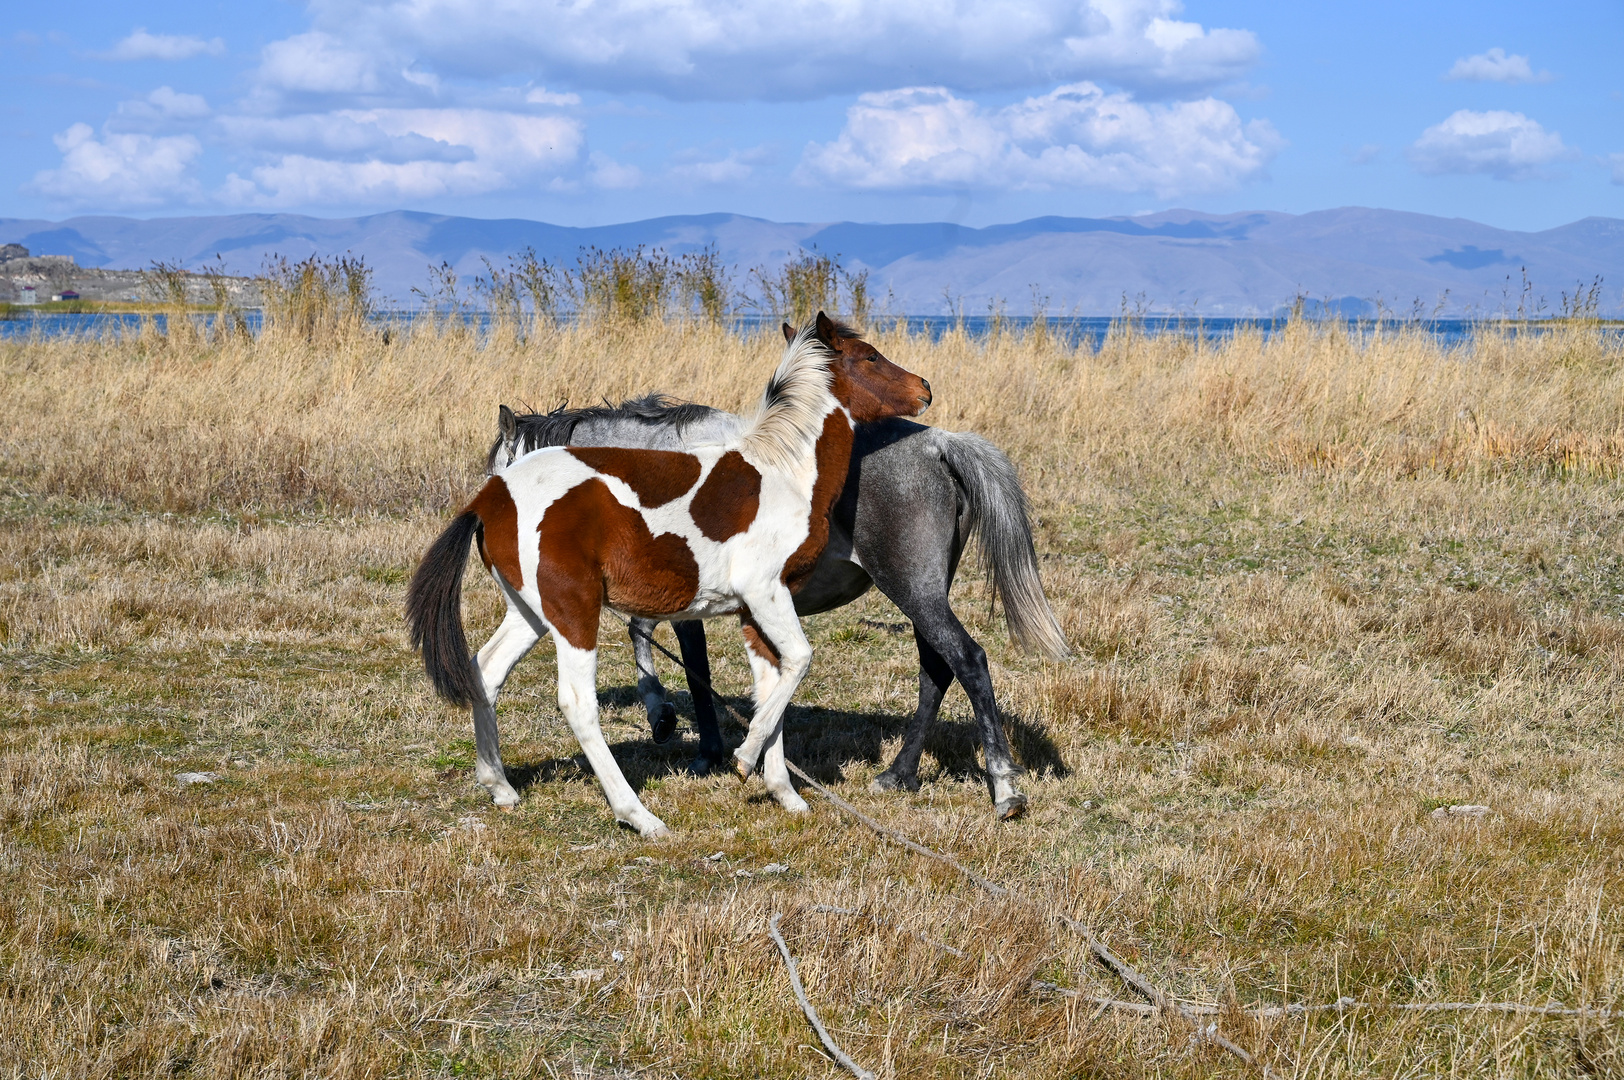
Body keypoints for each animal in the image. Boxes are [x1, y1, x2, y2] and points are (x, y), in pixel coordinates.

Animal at [406, 311, 935, 831]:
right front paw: (743, 758)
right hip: (574, 611)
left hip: (531, 612)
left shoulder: (755, 609)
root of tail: (491, 500)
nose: (925, 388)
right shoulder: (765, 594)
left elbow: (772, 683)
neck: (782, 470)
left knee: (486, 671)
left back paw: (501, 787)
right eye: (870, 356)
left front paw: (784, 793)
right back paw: (638, 815)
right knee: (576, 701)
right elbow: (798, 662)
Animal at [487, 316, 1071, 821]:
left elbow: (683, 661)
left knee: (967, 661)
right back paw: (899, 774)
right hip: (923, 594)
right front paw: (673, 721)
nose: (503, 556)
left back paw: (1003, 788)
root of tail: (937, 444)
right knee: (937, 670)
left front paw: (695, 739)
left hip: (914, 590)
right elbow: (646, 633)